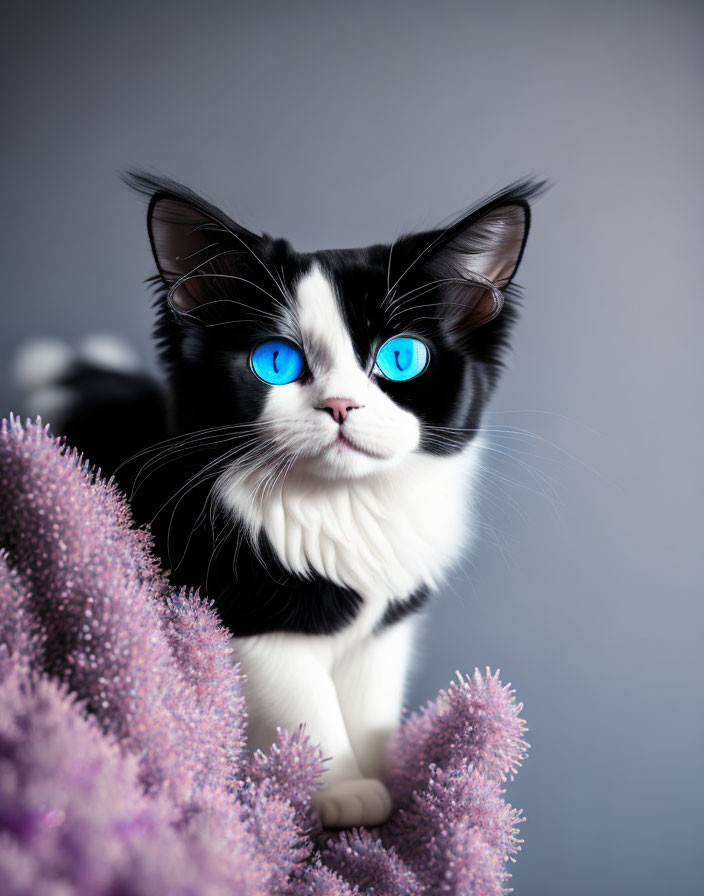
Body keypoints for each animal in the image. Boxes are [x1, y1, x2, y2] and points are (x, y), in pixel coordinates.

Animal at [19, 173, 540, 824]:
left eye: (401, 358)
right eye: (276, 361)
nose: (341, 405)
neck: (340, 508)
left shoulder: (385, 628)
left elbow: (371, 705)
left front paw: (394, 790)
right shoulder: (247, 616)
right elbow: (306, 701)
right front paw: (343, 792)